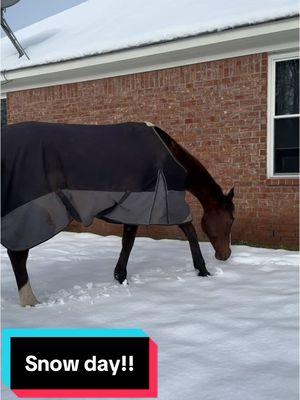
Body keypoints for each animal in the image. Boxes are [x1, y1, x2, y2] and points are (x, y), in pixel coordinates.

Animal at [1, 122, 234, 306]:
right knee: (18, 255)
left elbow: (127, 242)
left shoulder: (133, 206)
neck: (169, 154)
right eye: (231, 220)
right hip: (28, 213)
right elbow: (189, 231)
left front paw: (120, 278)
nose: (225, 255)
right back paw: (30, 301)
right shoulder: (163, 201)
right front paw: (203, 270)